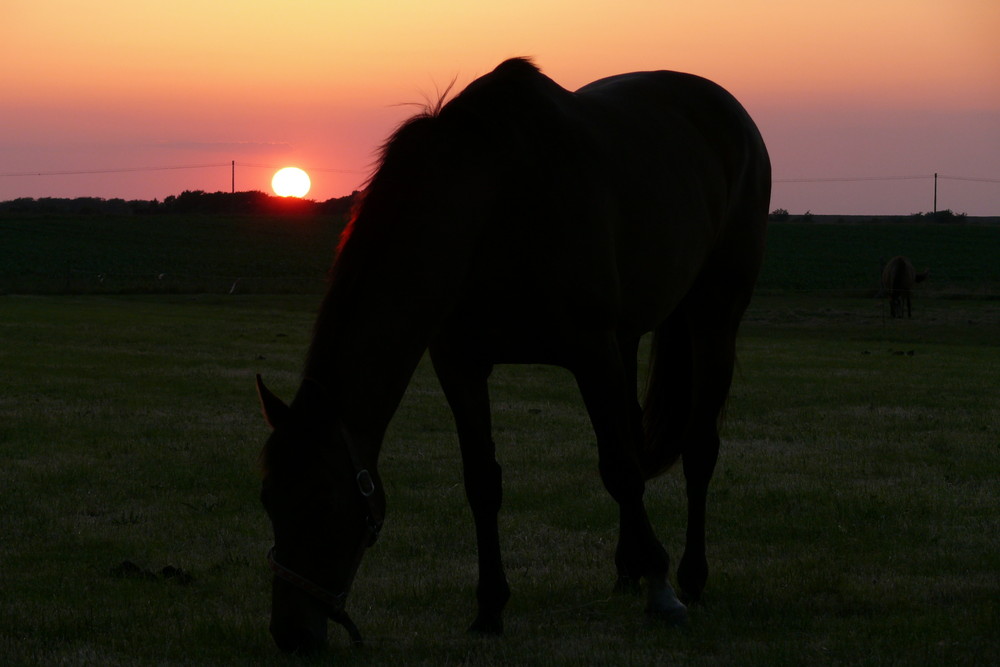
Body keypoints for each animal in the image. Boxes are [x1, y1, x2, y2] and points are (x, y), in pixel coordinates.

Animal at [254, 57, 768, 652]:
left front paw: (663, 592)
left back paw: (690, 576)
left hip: (713, 315)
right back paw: (627, 567)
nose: (291, 634)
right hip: (627, 337)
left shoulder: (590, 350)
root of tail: (729, 111)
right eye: (269, 500)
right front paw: (489, 609)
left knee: (698, 447)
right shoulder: (461, 363)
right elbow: (484, 482)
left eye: (323, 503)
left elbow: (619, 470)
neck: (496, 202)